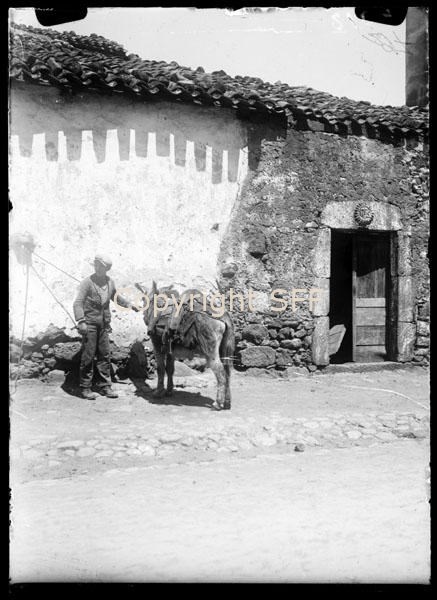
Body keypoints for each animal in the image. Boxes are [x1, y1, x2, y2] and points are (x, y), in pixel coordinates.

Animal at [135, 281, 235, 410]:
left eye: (143, 299)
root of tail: (223, 317)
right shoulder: (170, 349)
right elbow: (170, 369)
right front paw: (169, 391)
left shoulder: (157, 346)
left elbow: (161, 369)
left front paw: (158, 392)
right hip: (225, 349)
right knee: (228, 372)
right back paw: (227, 402)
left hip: (210, 351)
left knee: (221, 372)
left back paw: (218, 403)